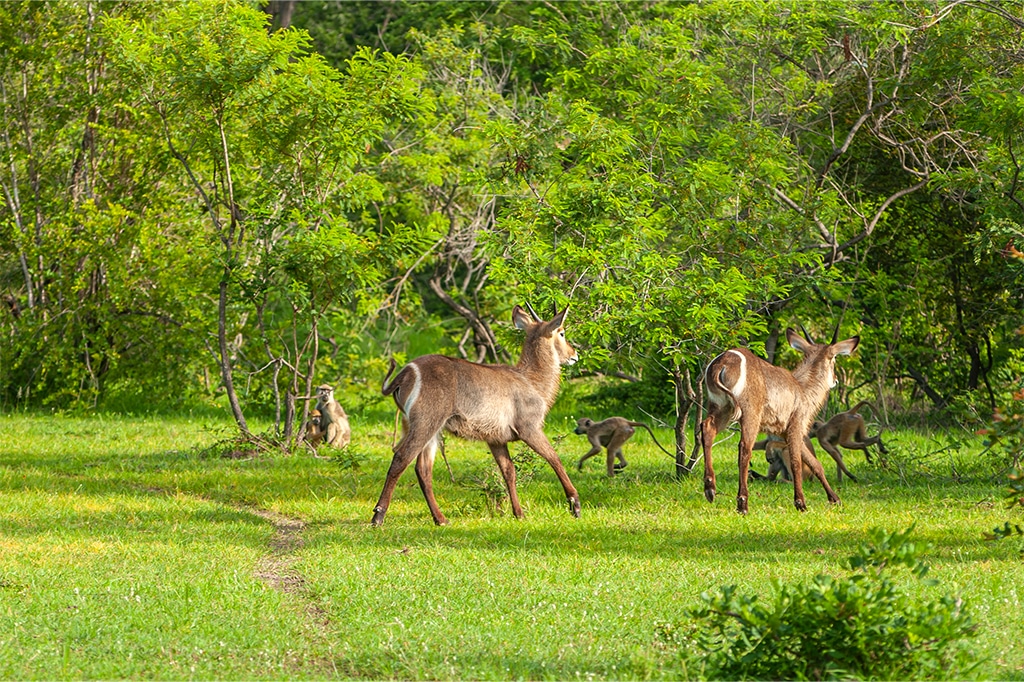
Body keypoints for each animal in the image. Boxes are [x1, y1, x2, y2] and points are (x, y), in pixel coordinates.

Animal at [371, 304, 581, 527]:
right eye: (562, 332)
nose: (574, 355)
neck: (532, 380)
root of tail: (407, 372)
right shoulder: (529, 429)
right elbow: (554, 458)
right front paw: (575, 505)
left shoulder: (496, 439)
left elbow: (509, 471)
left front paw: (518, 513)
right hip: (425, 423)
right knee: (401, 458)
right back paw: (378, 516)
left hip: (431, 430)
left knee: (423, 470)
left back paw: (441, 519)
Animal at [700, 326, 859, 514]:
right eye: (834, 359)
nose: (835, 380)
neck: (803, 389)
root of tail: (722, 362)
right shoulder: (796, 425)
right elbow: (797, 462)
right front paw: (800, 503)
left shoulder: (786, 432)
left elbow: (815, 463)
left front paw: (835, 499)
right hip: (749, 413)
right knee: (744, 448)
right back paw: (742, 504)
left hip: (720, 407)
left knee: (707, 428)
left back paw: (710, 489)